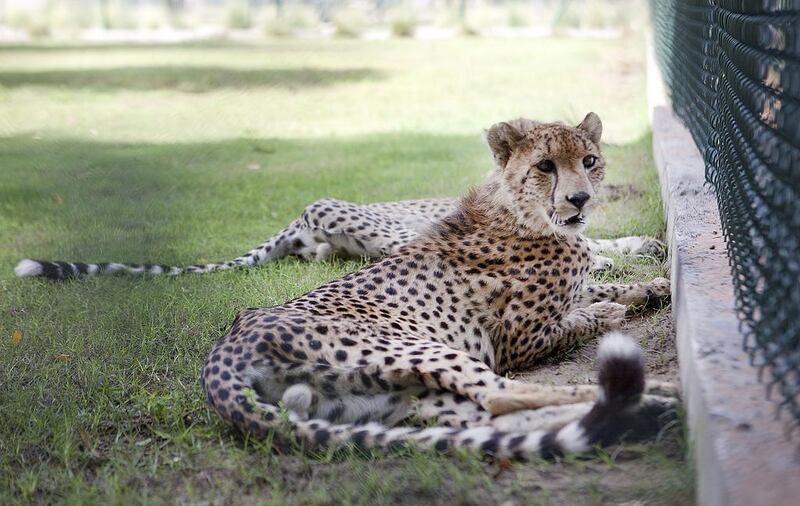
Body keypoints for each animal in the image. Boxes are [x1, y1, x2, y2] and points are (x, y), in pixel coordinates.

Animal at [200, 113, 676, 458]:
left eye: (589, 161)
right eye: (545, 166)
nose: (580, 199)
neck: (520, 212)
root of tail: (226, 348)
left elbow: (596, 288)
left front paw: (653, 287)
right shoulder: (517, 341)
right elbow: (580, 316)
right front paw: (612, 309)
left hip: (391, 398)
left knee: (492, 419)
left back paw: (648, 413)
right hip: (420, 350)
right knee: (504, 394)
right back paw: (657, 394)